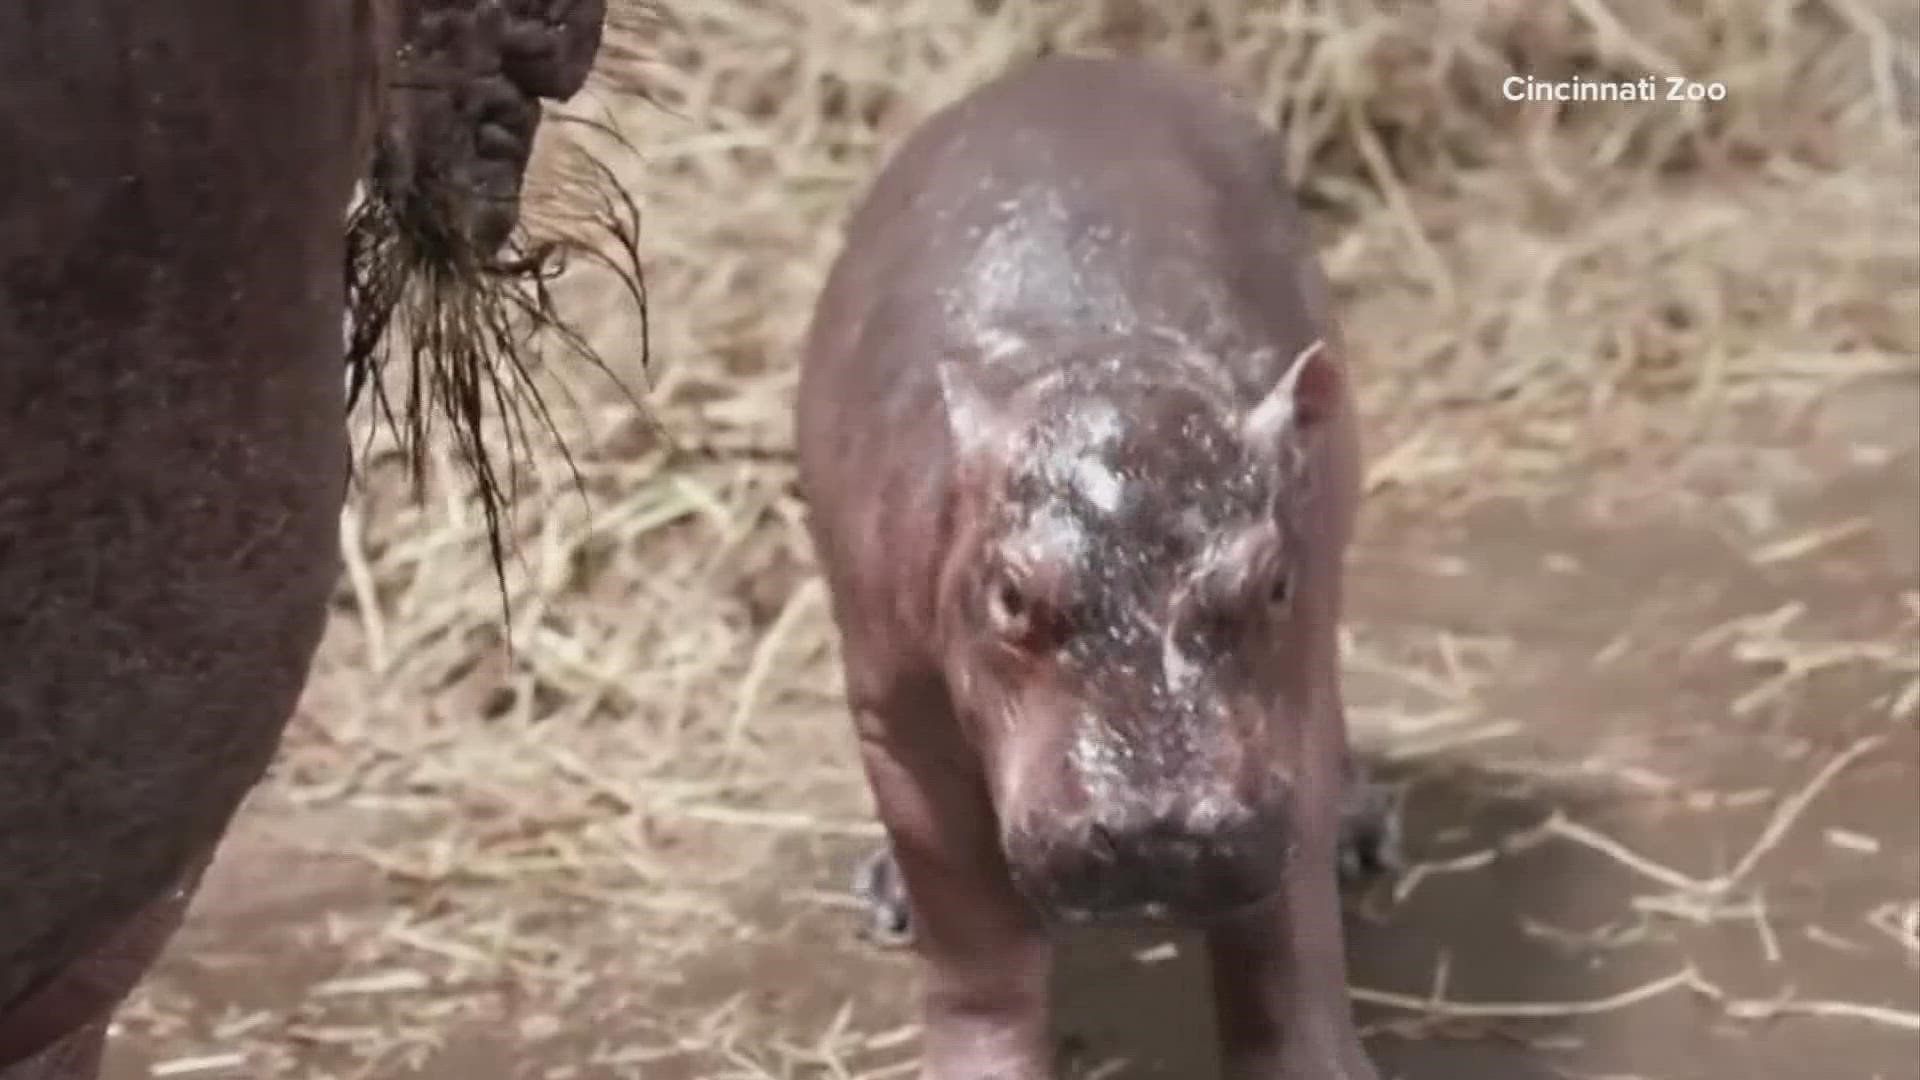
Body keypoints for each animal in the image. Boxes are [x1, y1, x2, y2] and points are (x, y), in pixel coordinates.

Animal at [802, 56, 1390, 1076]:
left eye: (1273, 581)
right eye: (1009, 592)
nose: (1161, 831)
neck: (1098, 359)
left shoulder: (1289, 699)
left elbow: (1281, 931)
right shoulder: (896, 711)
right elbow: (976, 940)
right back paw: (887, 897)